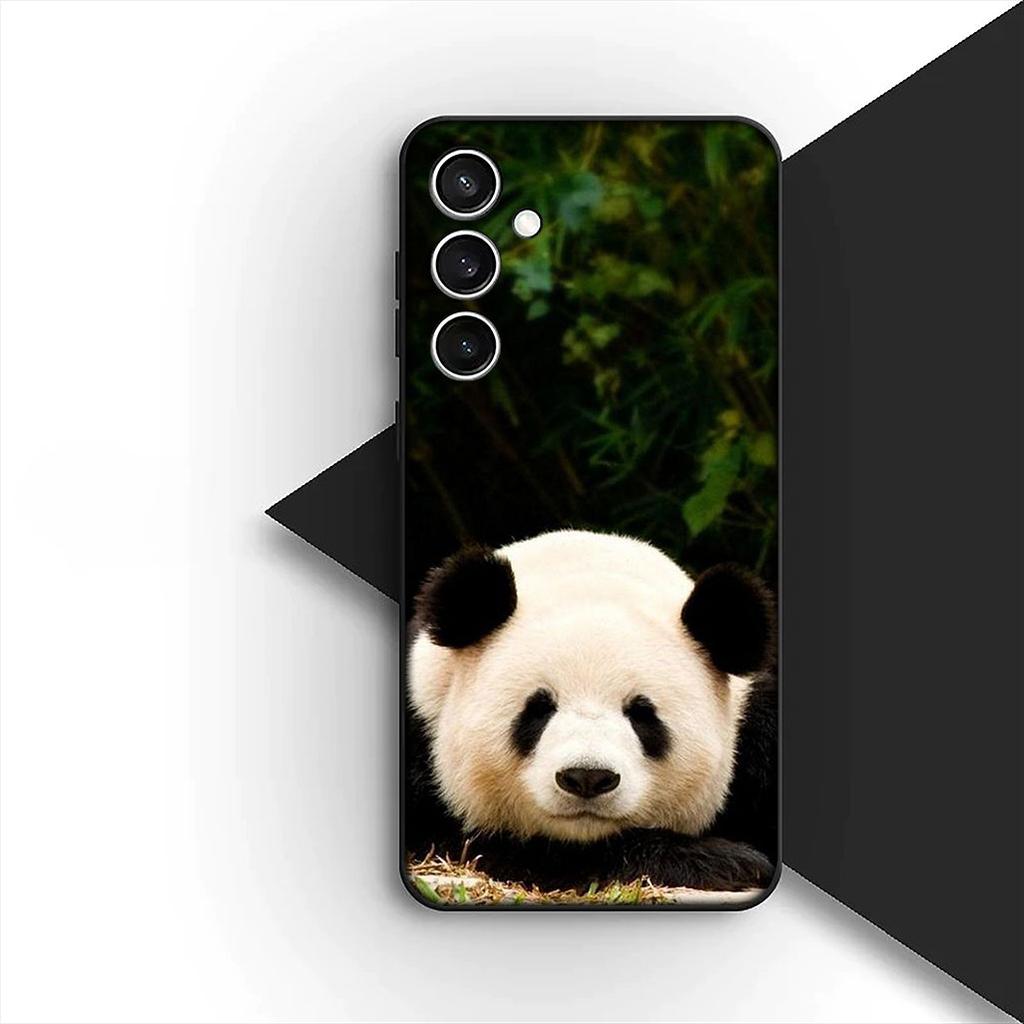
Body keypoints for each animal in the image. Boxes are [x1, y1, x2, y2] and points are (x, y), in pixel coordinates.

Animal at [405, 529, 777, 895]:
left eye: (642, 714)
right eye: (538, 709)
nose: (587, 777)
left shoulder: (758, 732)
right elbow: (490, 846)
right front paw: (721, 860)